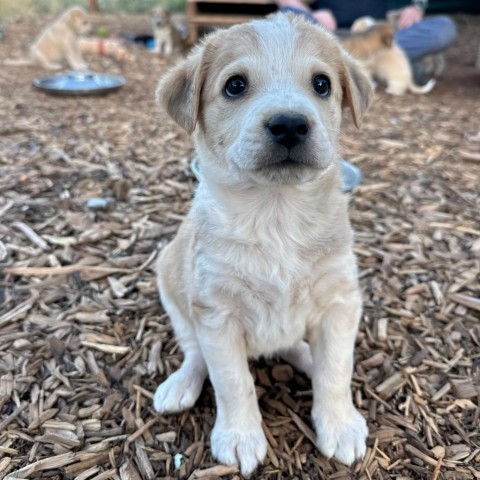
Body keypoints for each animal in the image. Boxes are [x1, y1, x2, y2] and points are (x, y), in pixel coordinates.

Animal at [152, 11, 374, 476]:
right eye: (235, 85)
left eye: (322, 84)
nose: (290, 124)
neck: (276, 216)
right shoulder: (217, 315)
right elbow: (233, 381)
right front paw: (240, 438)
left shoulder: (340, 303)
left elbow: (336, 371)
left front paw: (340, 425)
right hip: (175, 295)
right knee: (195, 355)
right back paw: (180, 385)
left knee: (299, 348)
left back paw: (307, 355)